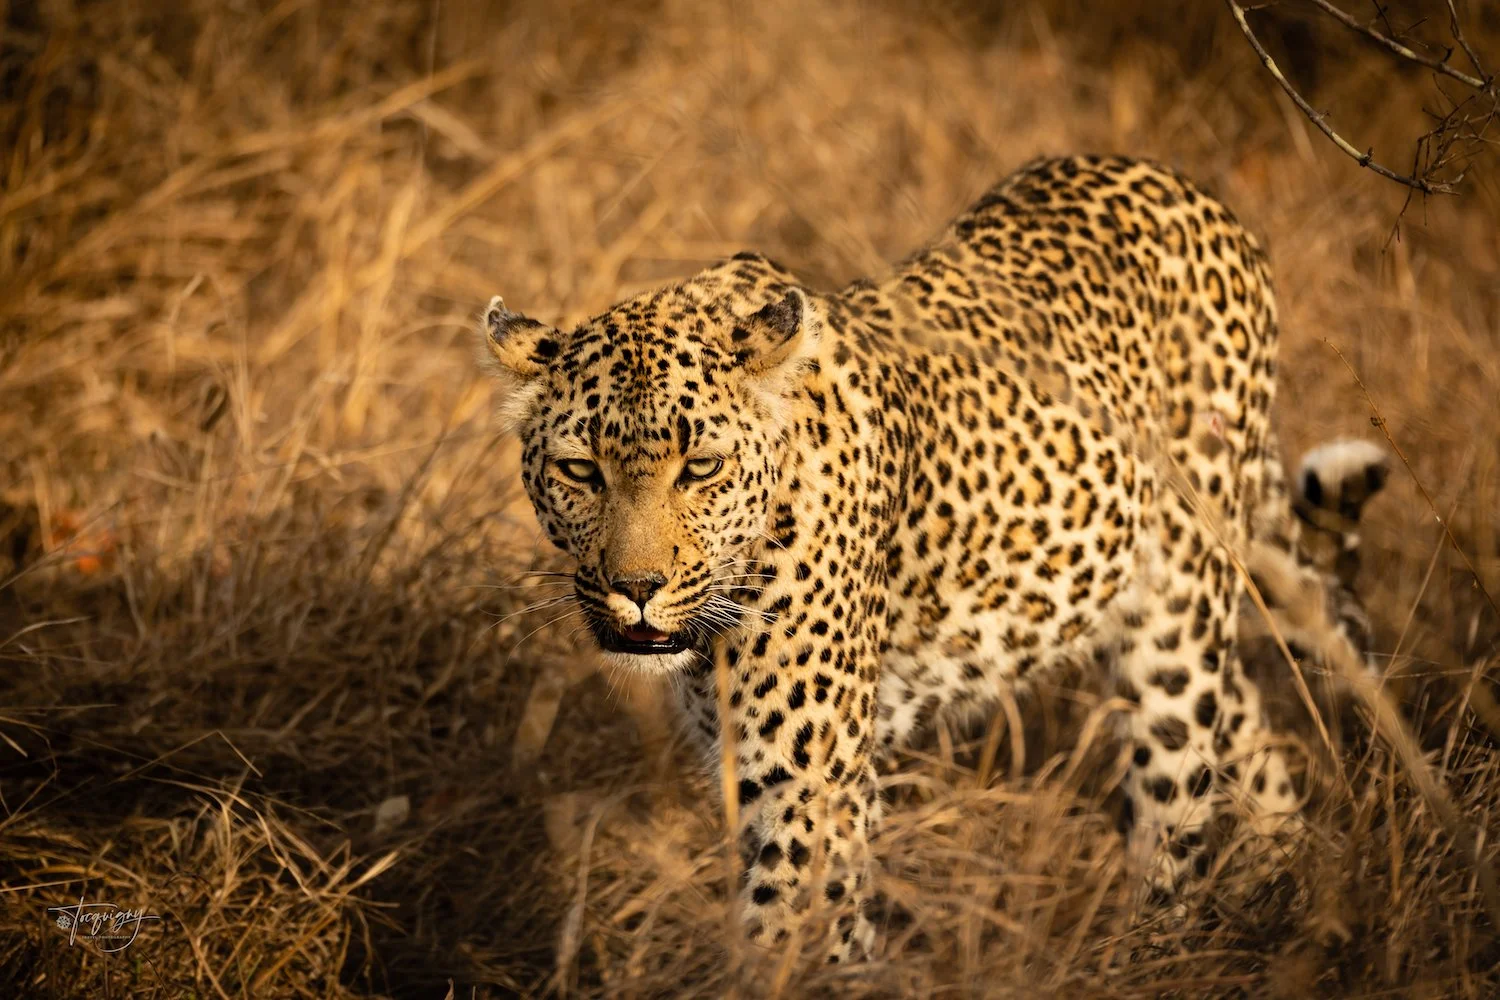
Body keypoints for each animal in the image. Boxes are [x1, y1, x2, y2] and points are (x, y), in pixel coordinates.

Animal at [479, 154, 1391, 962]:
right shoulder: (768, 775)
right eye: (580, 471)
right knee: (1249, 726)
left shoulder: (805, 789)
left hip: (1179, 619)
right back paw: (1281, 879)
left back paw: (1158, 950)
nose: (637, 588)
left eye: (700, 467)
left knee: (1177, 798)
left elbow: (788, 942)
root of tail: (1188, 188)